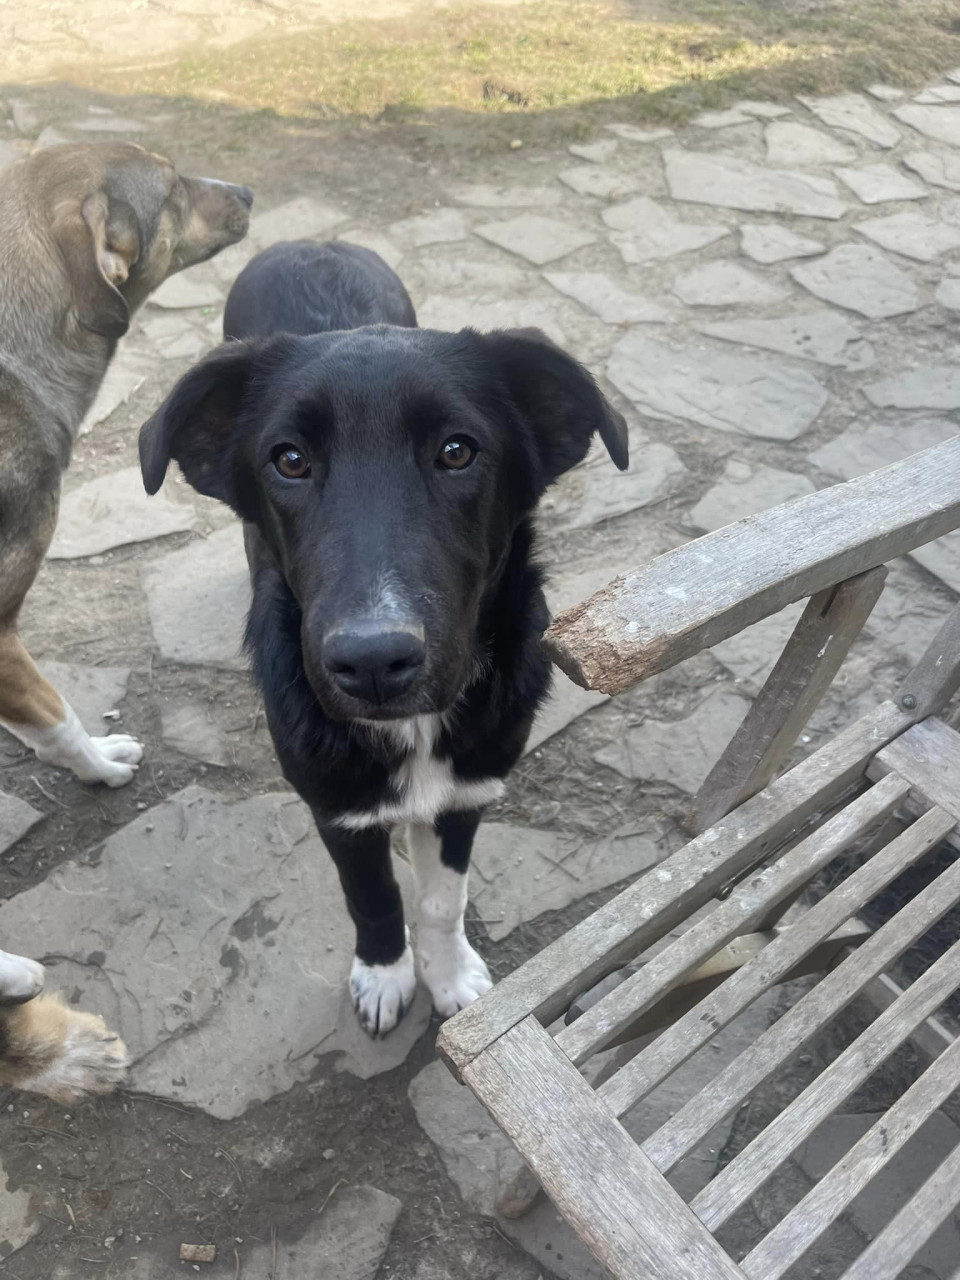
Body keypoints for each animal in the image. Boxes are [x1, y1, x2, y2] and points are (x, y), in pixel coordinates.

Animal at [139, 238, 628, 1035]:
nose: (372, 663)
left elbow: (439, 898)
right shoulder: (337, 806)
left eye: (457, 451)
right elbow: (372, 898)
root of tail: (312, 243)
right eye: (290, 460)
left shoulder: (469, 789)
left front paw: (450, 975)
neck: (416, 732)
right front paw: (385, 974)